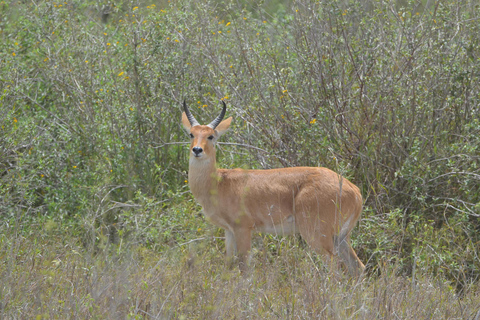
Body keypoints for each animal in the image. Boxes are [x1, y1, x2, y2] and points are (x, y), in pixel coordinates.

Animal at [182, 101, 366, 276]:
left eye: (211, 136)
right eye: (192, 134)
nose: (197, 150)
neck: (219, 182)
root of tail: (354, 191)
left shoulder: (243, 229)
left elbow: (244, 267)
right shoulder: (229, 231)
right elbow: (229, 265)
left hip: (317, 236)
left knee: (335, 268)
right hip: (341, 237)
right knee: (358, 267)